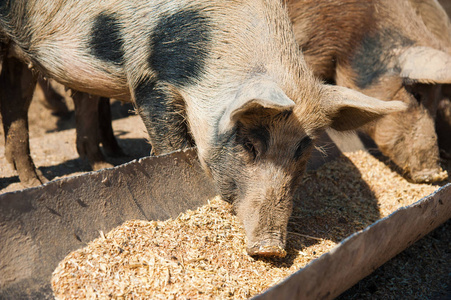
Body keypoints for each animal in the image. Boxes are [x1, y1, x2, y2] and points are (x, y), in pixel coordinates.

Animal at [0, 0, 408, 258]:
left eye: (302, 151)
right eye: (249, 144)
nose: (270, 249)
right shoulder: (148, 79)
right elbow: (169, 143)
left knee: (22, 106)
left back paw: (74, 173)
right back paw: (40, 183)